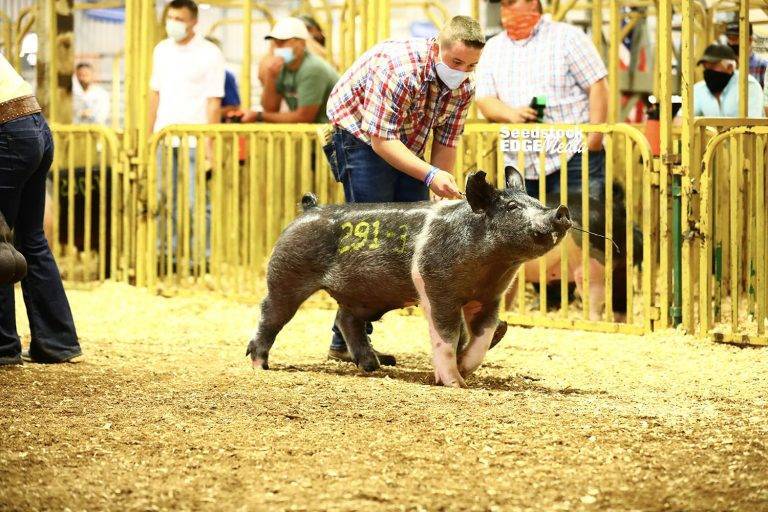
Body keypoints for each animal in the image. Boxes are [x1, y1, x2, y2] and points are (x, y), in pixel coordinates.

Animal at [246, 170, 571, 388]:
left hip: (364, 296)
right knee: (270, 314)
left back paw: (374, 365)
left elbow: (483, 336)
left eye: (536, 200)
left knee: (346, 319)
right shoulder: (436, 287)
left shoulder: (490, 298)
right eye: (512, 207)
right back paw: (259, 365)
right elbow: (446, 335)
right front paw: (456, 384)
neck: (493, 265)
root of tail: (309, 208)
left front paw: (465, 369)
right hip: (286, 274)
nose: (561, 210)